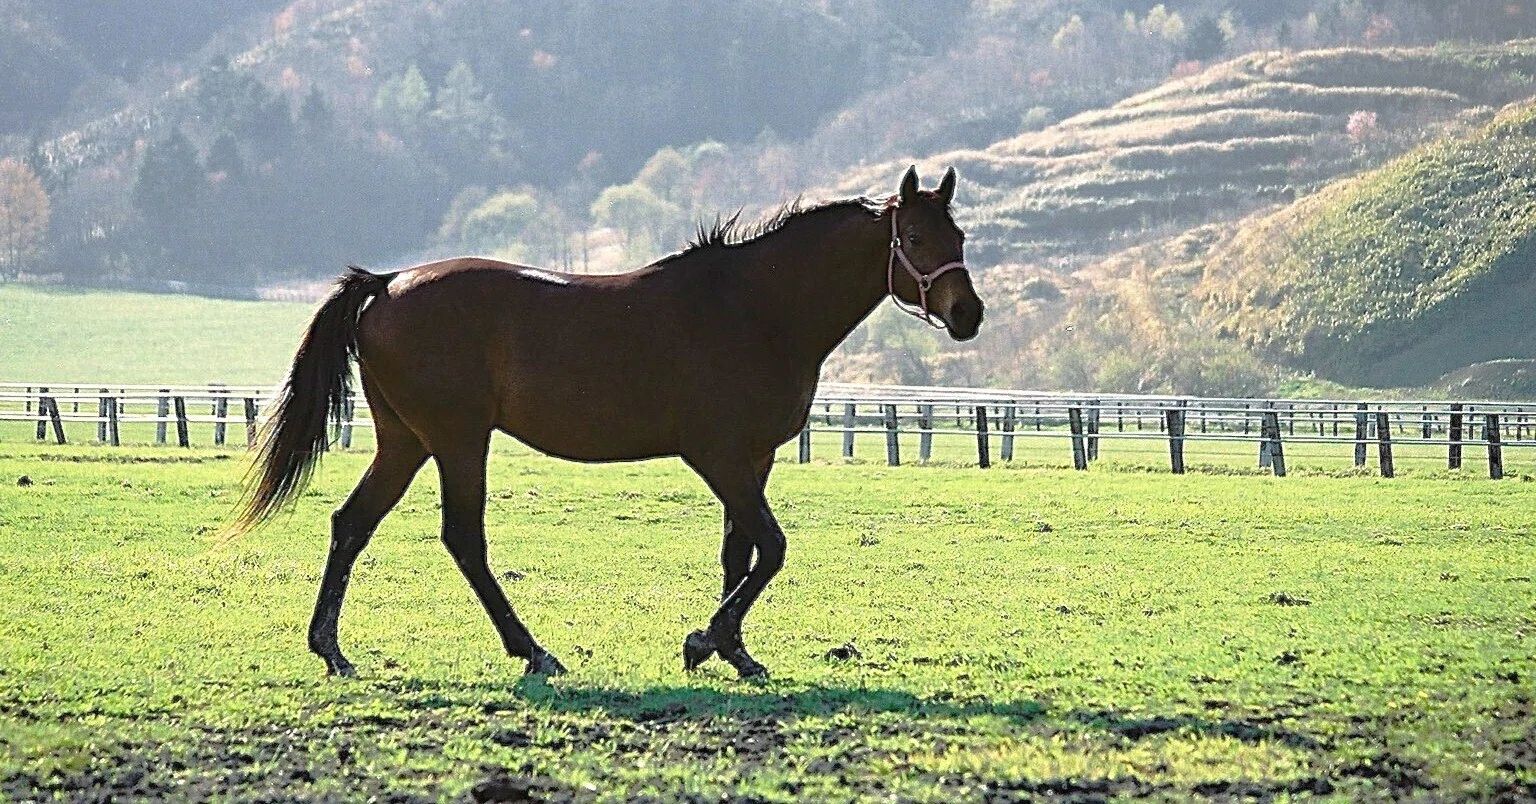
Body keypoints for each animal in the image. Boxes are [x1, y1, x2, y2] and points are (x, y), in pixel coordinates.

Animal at [234, 166, 983, 679]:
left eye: (959, 235)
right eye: (916, 236)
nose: (968, 314)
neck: (756, 308)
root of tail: (387, 283)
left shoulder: (754, 458)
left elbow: (738, 553)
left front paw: (736, 653)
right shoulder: (718, 456)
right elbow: (771, 549)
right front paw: (704, 642)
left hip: (406, 442)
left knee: (352, 524)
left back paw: (332, 650)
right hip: (456, 441)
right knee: (463, 540)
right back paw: (533, 651)